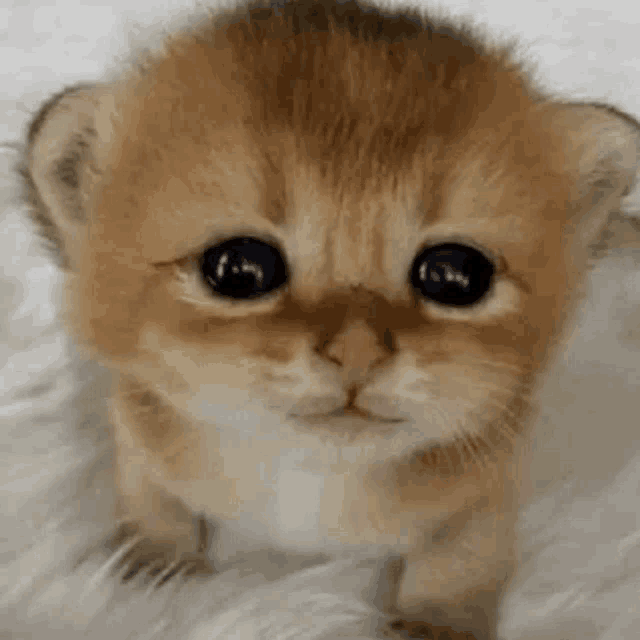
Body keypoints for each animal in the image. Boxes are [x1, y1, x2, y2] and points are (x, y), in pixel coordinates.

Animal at [20, 2, 640, 636]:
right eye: (239, 268)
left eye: (455, 275)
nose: (358, 350)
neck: (311, 481)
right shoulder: (138, 426)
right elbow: (149, 496)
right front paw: (154, 563)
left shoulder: (492, 485)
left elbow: (462, 558)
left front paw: (435, 622)